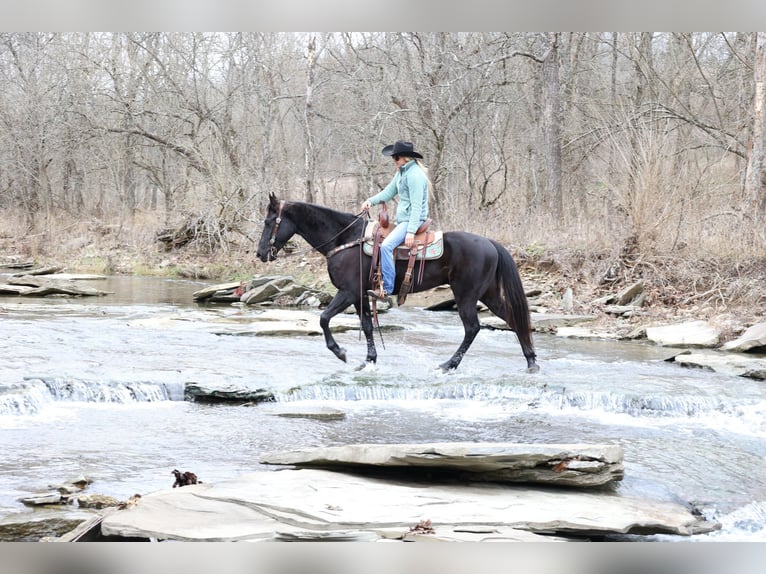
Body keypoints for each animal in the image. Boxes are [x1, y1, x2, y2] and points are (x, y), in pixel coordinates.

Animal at [255, 194, 536, 374]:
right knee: (512, 318)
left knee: (472, 328)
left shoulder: (347, 292)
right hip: (487, 294)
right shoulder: (360, 295)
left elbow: (324, 318)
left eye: (269, 222)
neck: (345, 239)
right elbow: (367, 326)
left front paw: (341, 353)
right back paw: (531, 361)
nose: (260, 254)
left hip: (466, 294)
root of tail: (490, 243)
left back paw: (448, 365)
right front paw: (369, 360)